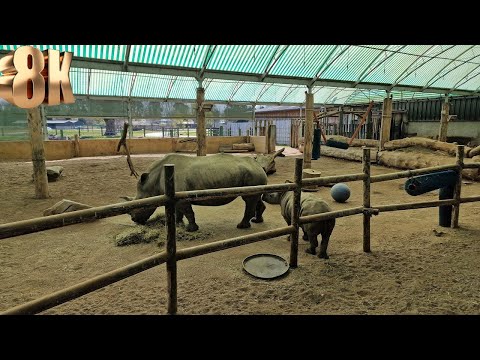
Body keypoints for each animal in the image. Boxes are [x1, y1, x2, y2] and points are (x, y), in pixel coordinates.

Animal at [124, 148, 284, 231]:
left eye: (139, 204)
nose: (134, 220)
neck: (153, 182)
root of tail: (259, 166)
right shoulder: (175, 196)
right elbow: (178, 211)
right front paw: (178, 225)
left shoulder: (182, 198)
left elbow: (188, 212)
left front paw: (191, 229)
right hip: (254, 176)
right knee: (255, 197)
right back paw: (257, 221)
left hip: (252, 174)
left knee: (249, 200)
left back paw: (241, 227)